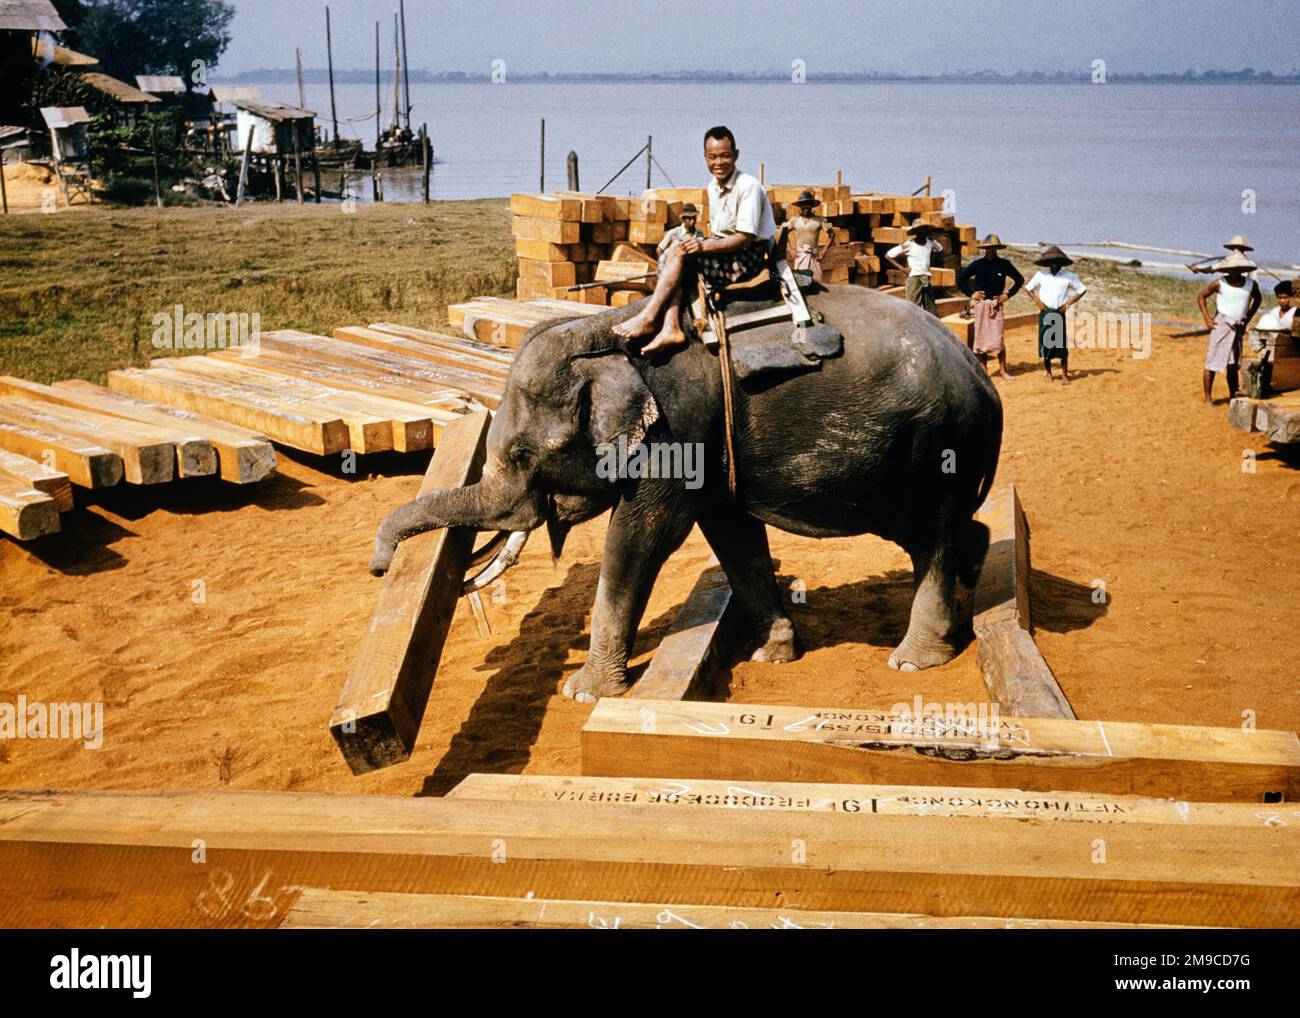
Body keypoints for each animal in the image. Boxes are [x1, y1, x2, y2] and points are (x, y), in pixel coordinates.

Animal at [369, 284, 1003, 703]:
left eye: (525, 455)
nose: (378, 567)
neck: (610, 327)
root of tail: (982, 376)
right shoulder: (711, 450)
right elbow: (731, 531)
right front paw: (772, 652)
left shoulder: (677, 433)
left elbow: (642, 538)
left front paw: (584, 694)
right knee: (947, 532)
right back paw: (964, 604)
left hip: (941, 444)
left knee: (934, 535)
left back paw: (914, 661)